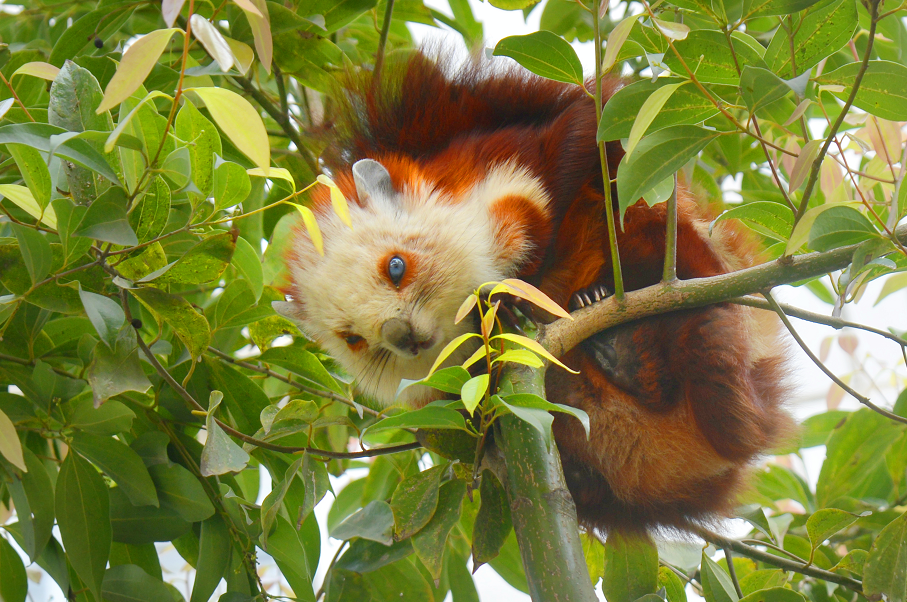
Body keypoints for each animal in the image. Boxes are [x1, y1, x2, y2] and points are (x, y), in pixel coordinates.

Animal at [278, 51, 796, 528]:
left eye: (396, 267)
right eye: (352, 339)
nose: (399, 336)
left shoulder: (503, 154)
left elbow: (582, 140)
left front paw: (513, 294)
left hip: (674, 249)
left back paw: (614, 329)